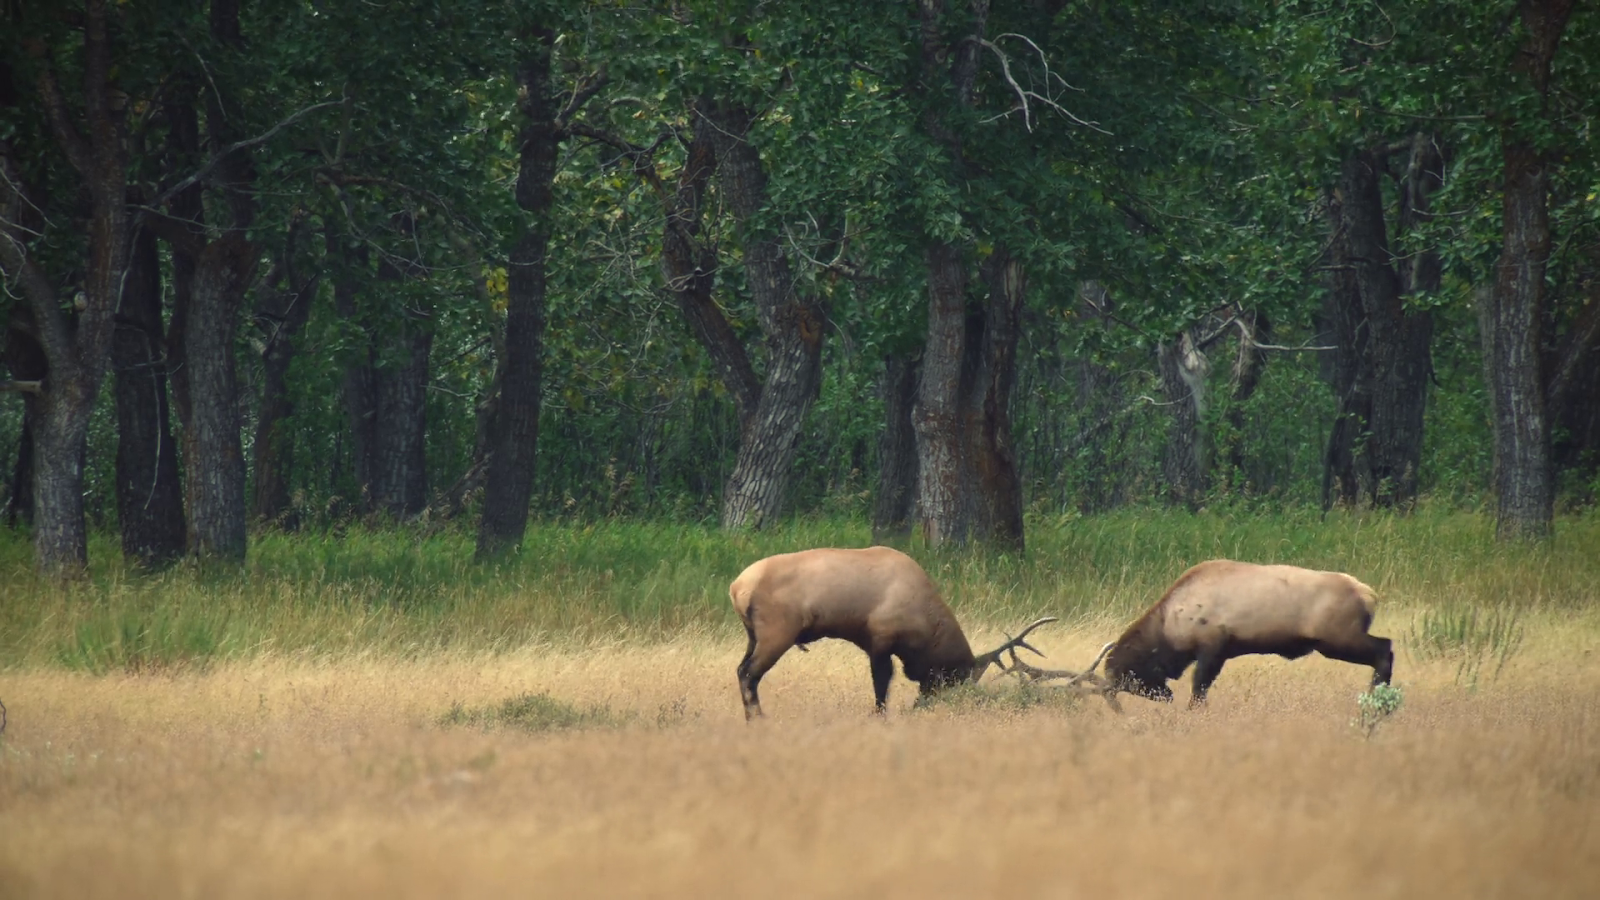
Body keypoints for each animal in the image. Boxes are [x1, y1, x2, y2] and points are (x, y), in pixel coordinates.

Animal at [729, 544, 1075, 717]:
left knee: (740, 669)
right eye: (952, 679)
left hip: (753, 636)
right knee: (748, 673)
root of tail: (736, 587)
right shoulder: (881, 639)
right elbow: (882, 684)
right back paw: (758, 720)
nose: (923, 705)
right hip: (777, 633)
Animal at [1017, 554, 1395, 707]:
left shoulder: (1213, 645)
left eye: (1131, 678)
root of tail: (1369, 594)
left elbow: (1199, 688)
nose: (1164, 696)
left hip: (1336, 639)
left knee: (1386, 648)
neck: (1170, 627)